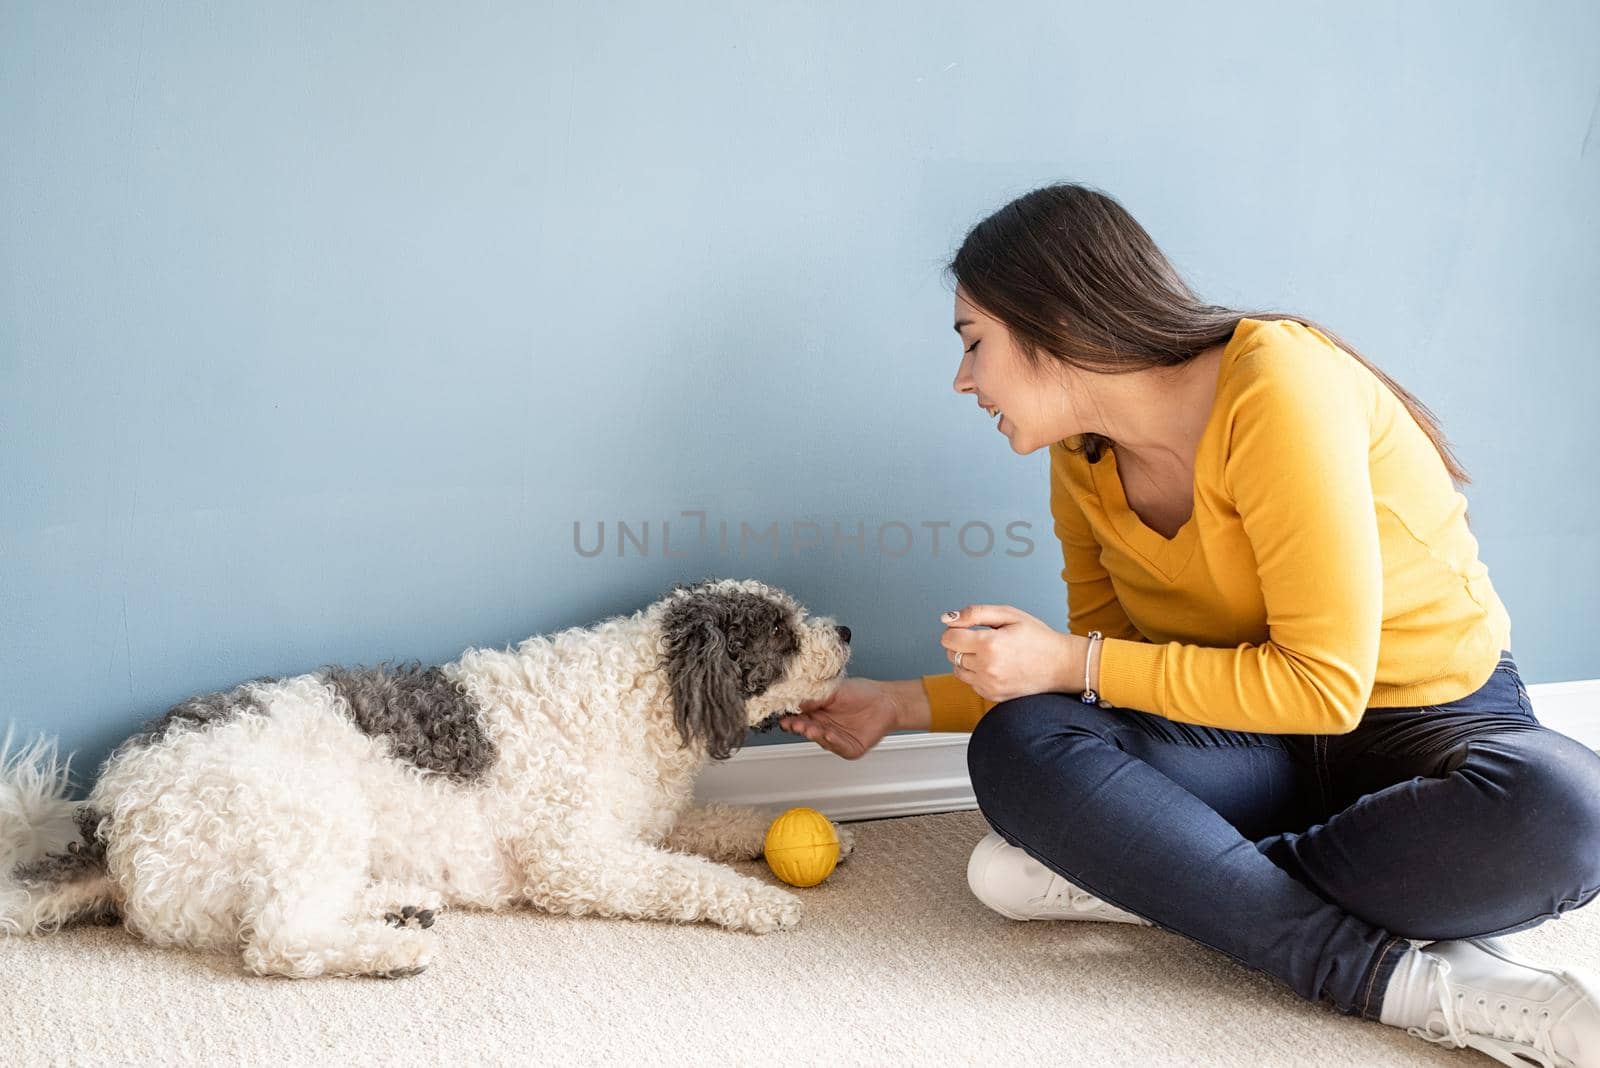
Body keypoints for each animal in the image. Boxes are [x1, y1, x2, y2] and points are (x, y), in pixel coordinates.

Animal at [0, 575, 857, 978]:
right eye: (781, 633)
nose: (848, 628)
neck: (645, 693)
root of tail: (110, 814)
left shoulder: (649, 824)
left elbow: (718, 828)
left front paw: (806, 835)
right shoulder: (577, 861)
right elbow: (682, 878)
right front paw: (763, 900)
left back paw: (399, 905)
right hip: (306, 811)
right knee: (279, 941)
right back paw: (391, 952)